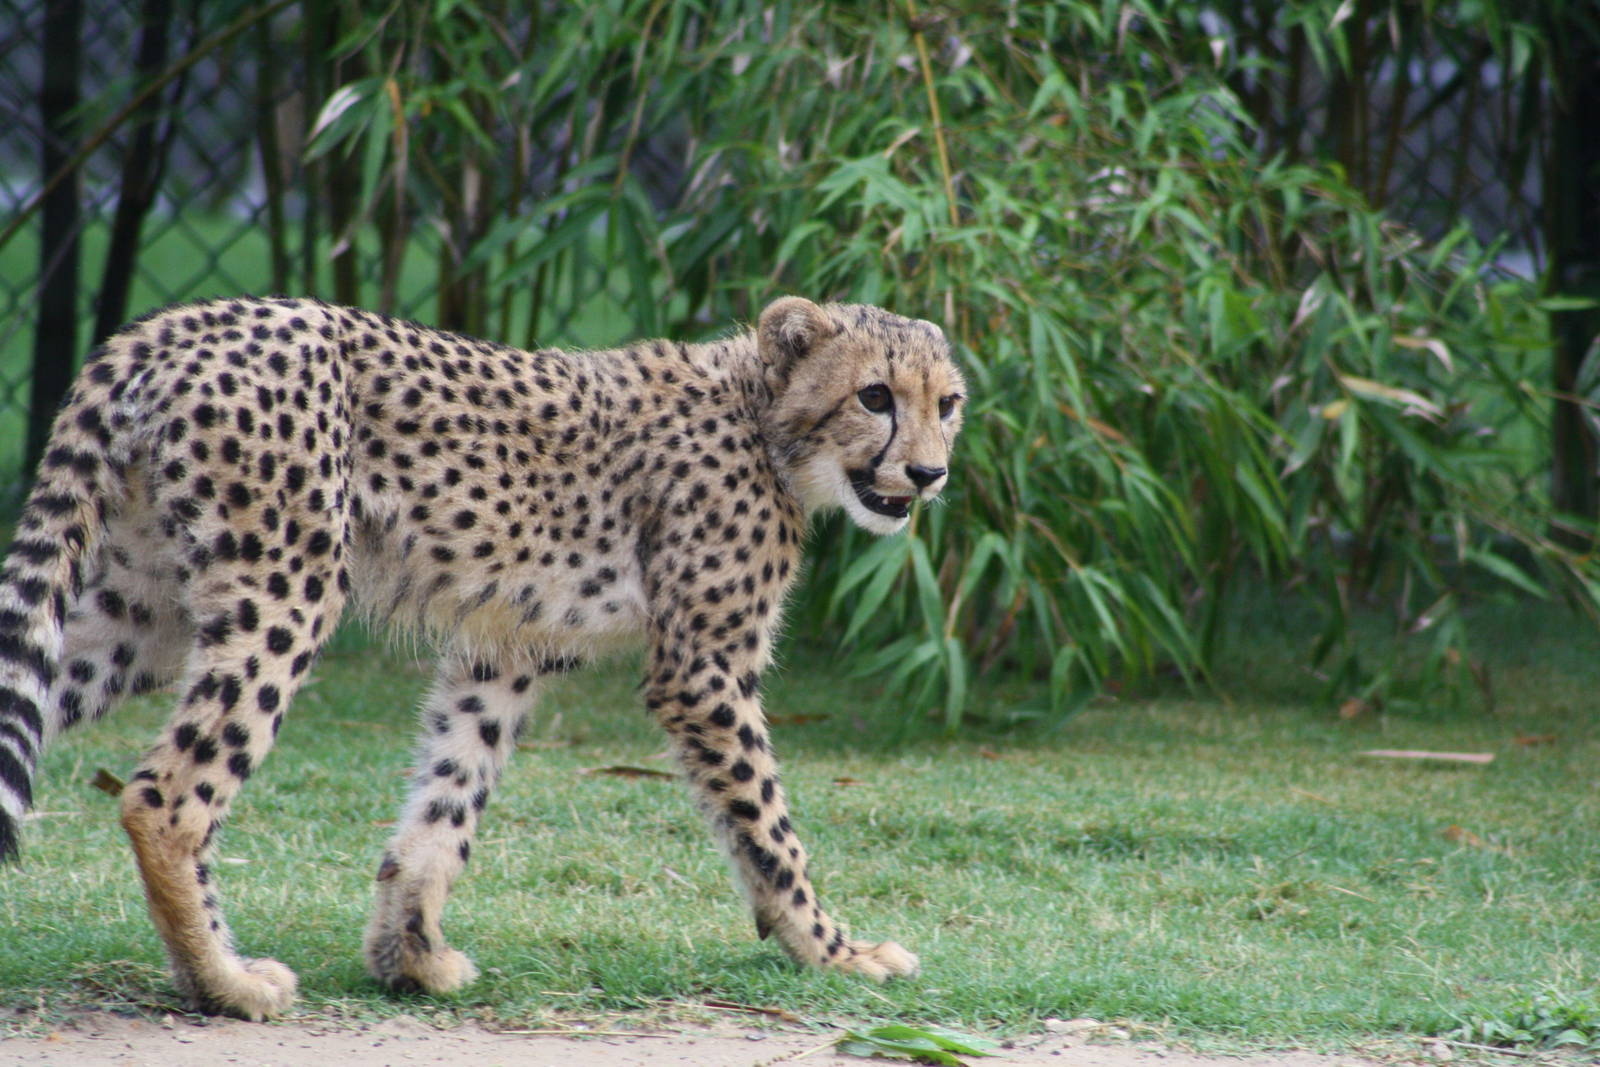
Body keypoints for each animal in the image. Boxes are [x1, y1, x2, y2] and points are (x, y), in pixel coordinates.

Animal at [0, 294, 966, 1020]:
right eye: (875, 396)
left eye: (946, 404)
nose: (928, 475)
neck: (764, 419)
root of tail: (178, 321)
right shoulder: (702, 668)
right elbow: (768, 828)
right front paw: (834, 950)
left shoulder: (506, 649)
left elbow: (447, 802)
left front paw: (409, 956)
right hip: (285, 589)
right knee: (166, 794)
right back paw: (226, 983)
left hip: (144, 611)